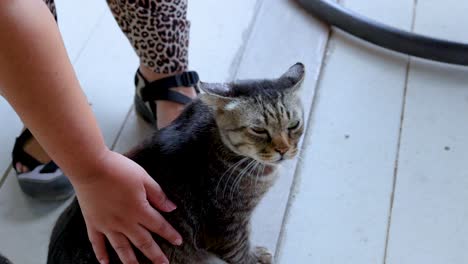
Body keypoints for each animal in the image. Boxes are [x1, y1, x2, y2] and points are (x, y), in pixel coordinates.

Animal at [47, 62, 308, 264]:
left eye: (294, 125)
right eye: (258, 130)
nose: (284, 150)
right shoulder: (226, 225)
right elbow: (240, 251)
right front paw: (257, 257)